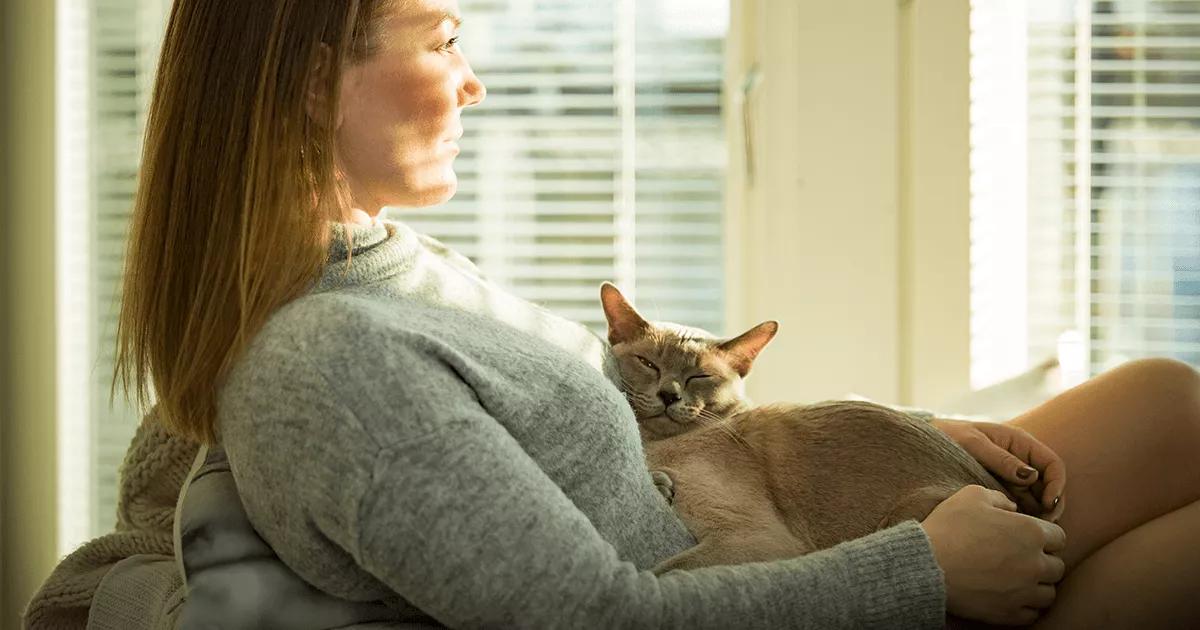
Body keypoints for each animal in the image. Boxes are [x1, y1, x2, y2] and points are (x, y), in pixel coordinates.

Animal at [600, 283, 1012, 573]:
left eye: (699, 376)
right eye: (648, 363)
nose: (669, 394)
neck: (655, 445)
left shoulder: (756, 538)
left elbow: (664, 571)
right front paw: (660, 483)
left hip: (904, 511)